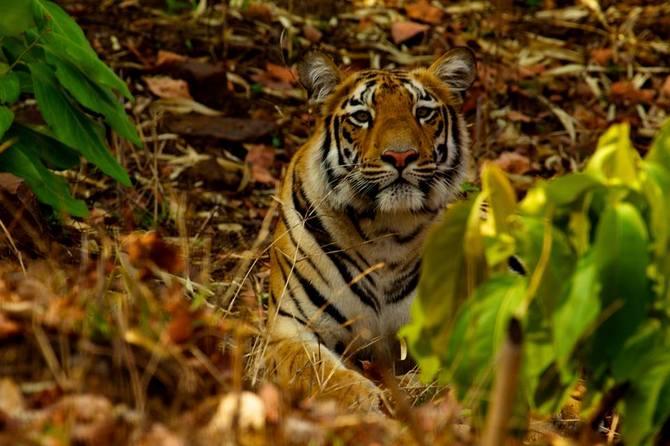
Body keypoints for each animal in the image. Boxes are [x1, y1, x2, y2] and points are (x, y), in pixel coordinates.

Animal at [262, 47, 478, 410]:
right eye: (362, 116)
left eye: (422, 113)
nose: (401, 156)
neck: (384, 230)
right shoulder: (289, 329)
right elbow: (322, 372)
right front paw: (369, 400)